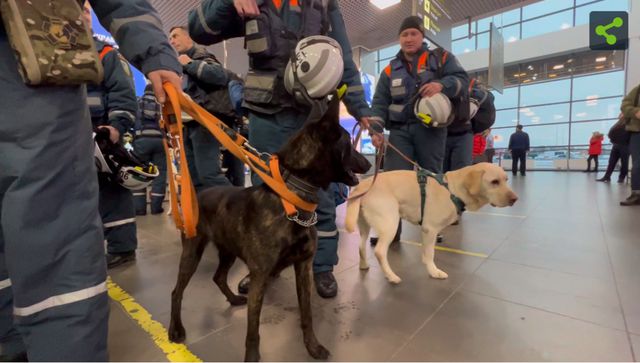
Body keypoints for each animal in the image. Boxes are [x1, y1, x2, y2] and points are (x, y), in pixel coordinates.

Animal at [168, 95, 372, 362]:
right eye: (348, 144)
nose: (368, 162)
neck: (291, 198)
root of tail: (197, 196)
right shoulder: (260, 276)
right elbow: (253, 331)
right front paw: (252, 357)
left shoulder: (303, 268)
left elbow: (306, 315)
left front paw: (312, 346)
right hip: (192, 252)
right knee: (176, 292)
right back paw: (175, 329)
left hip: (228, 251)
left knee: (218, 276)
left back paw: (232, 298)